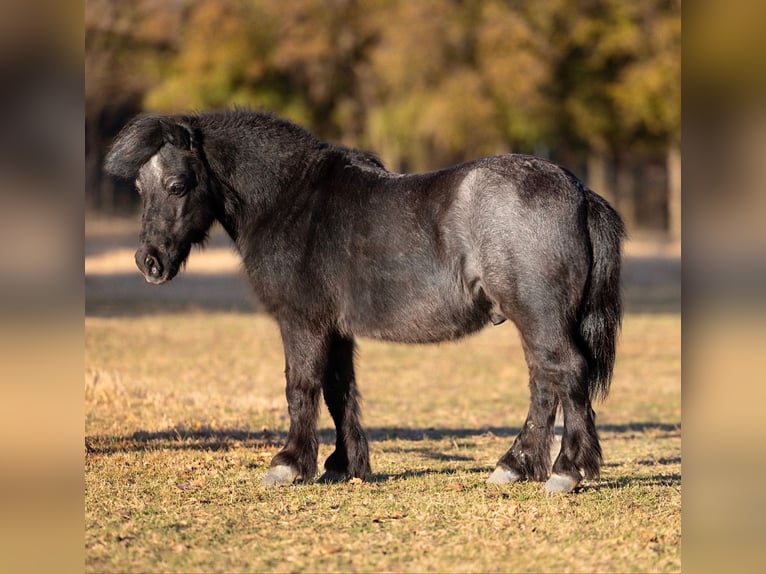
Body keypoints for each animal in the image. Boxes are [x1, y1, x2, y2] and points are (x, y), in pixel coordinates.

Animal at [104, 109, 624, 494]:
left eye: (177, 185)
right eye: (139, 187)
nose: (149, 262)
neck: (291, 201)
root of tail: (580, 193)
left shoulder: (303, 322)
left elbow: (301, 386)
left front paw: (288, 464)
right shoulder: (335, 329)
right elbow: (339, 390)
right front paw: (342, 464)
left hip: (538, 316)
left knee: (565, 375)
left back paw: (565, 471)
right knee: (545, 383)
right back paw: (516, 466)